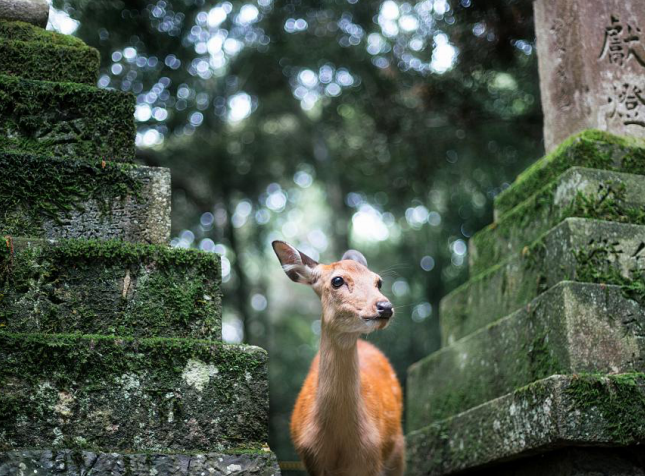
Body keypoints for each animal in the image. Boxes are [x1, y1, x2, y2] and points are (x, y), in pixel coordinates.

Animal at [270, 242, 402, 476]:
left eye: (379, 281)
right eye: (337, 280)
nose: (385, 307)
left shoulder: (372, 461)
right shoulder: (313, 463)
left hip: (398, 448)